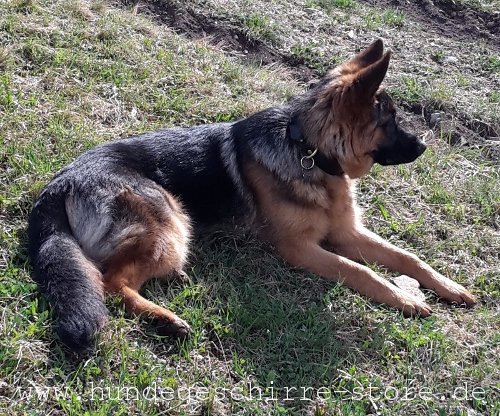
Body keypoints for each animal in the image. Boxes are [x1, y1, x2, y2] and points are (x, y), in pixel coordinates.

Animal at [28, 39, 476, 352]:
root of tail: (61, 182)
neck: (309, 152)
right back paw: (166, 320)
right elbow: (360, 271)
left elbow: (409, 257)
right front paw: (406, 300)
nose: (424, 146)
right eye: (392, 122)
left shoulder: (346, 233)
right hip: (169, 219)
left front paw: (449, 287)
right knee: (110, 282)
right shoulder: (300, 248)